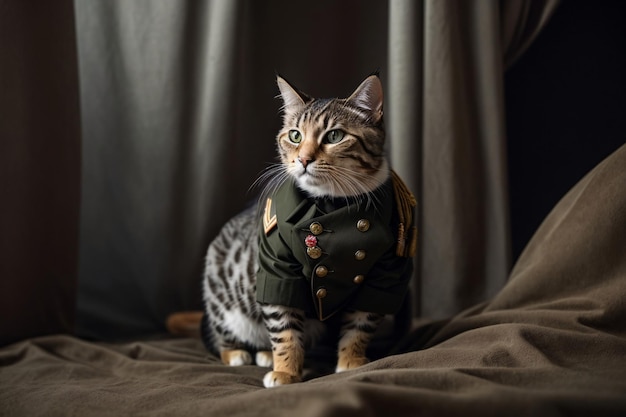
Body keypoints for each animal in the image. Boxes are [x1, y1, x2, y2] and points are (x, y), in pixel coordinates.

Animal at [195, 74, 412, 386]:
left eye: (334, 136)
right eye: (295, 135)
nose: (304, 159)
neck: (333, 205)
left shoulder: (385, 273)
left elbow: (361, 323)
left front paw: (351, 361)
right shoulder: (276, 267)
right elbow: (283, 327)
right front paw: (286, 370)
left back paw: (264, 353)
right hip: (223, 300)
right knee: (225, 334)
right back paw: (239, 353)